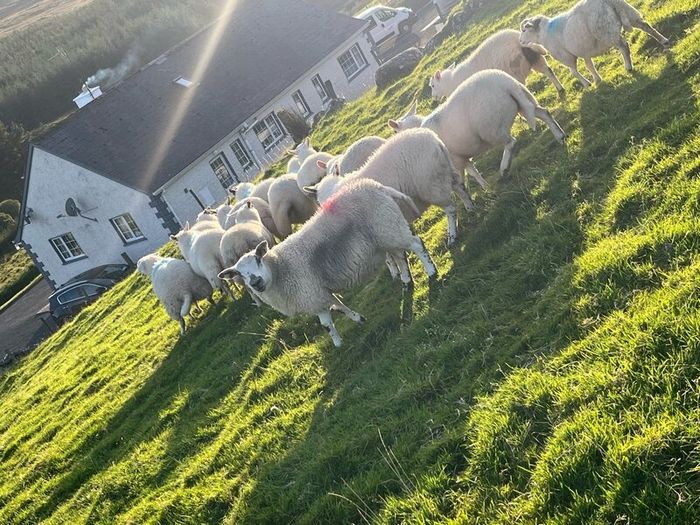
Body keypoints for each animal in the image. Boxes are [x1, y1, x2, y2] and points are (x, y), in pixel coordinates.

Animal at [218, 178, 437, 347]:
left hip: (389, 227)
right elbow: (338, 305)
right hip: (385, 235)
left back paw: (431, 271)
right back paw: (407, 282)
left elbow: (326, 324)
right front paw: (358, 319)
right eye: (239, 274)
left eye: (258, 259)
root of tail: (374, 185)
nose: (255, 282)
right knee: (400, 256)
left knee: (416, 245)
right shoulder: (320, 292)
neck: (281, 268)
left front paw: (338, 343)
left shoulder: (312, 295)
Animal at [305, 128, 474, 246]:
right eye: (319, 202)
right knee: (461, 188)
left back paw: (452, 237)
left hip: (431, 185)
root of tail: (434, 139)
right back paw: (470, 208)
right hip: (444, 172)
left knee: (450, 209)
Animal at [388, 69, 566, 187]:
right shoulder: (460, 155)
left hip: (491, 128)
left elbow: (463, 179)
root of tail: (504, 83)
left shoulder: (454, 160)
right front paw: (485, 187)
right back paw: (560, 136)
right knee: (544, 113)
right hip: (522, 102)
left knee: (511, 142)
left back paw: (504, 168)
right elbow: (472, 171)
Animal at [429, 29, 564, 99]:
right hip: (535, 58)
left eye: (433, 85)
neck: (450, 83)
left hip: (515, 70)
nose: (434, 97)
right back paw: (560, 89)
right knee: (549, 71)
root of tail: (519, 40)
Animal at [519, 0, 669, 88]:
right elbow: (589, 65)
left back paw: (628, 66)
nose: (520, 42)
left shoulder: (566, 56)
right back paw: (664, 41)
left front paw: (587, 83)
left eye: (524, 29)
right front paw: (597, 80)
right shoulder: (584, 50)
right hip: (629, 13)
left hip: (605, 30)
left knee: (623, 45)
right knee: (647, 27)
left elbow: (574, 71)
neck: (544, 34)